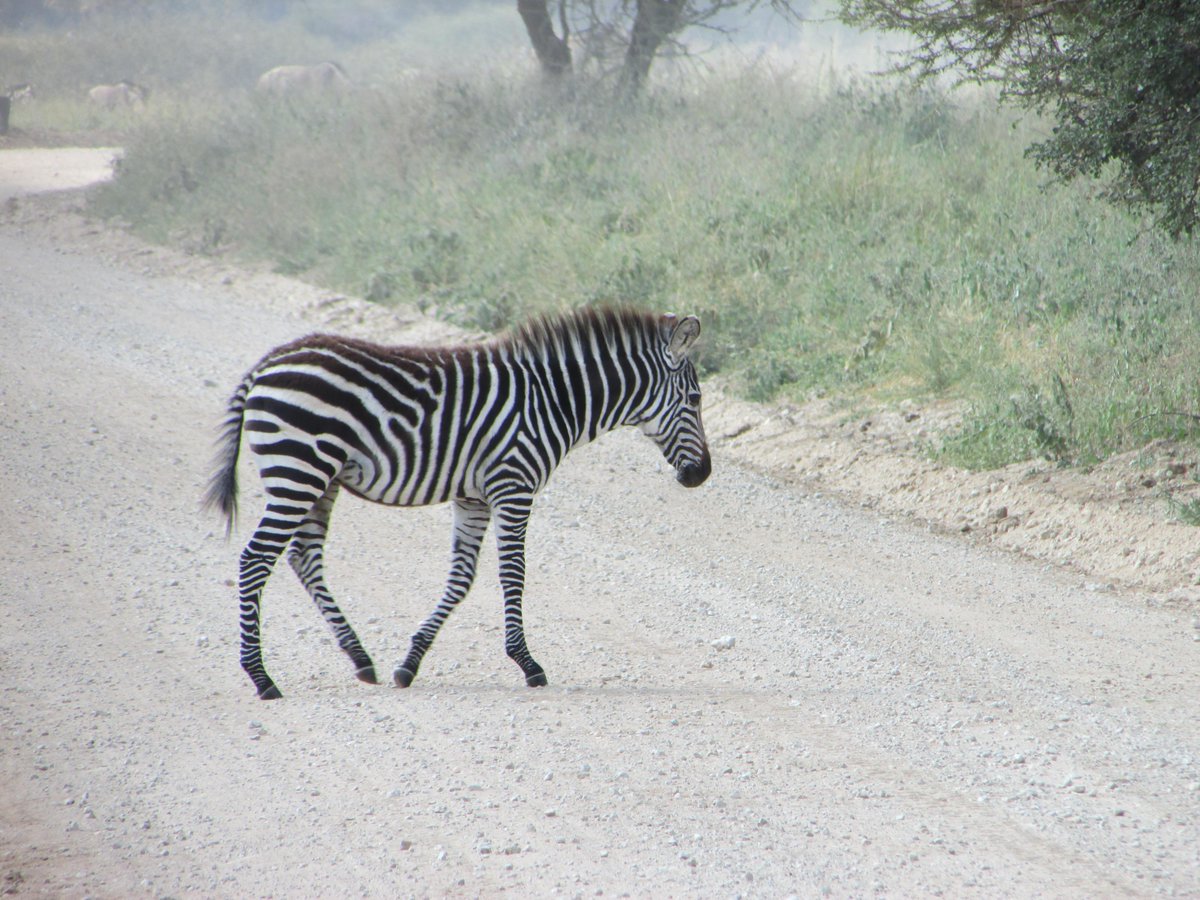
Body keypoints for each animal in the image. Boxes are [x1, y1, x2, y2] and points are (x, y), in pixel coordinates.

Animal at [204, 306, 711, 699]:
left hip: (318, 478)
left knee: (304, 557)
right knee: (256, 559)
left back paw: (360, 657)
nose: (702, 475)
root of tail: (266, 363)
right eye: (694, 398)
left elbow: (462, 579)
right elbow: (513, 574)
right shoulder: (513, 485)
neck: (554, 401)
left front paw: (409, 663)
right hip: (299, 470)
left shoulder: (473, 497)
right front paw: (527, 664)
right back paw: (261, 677)